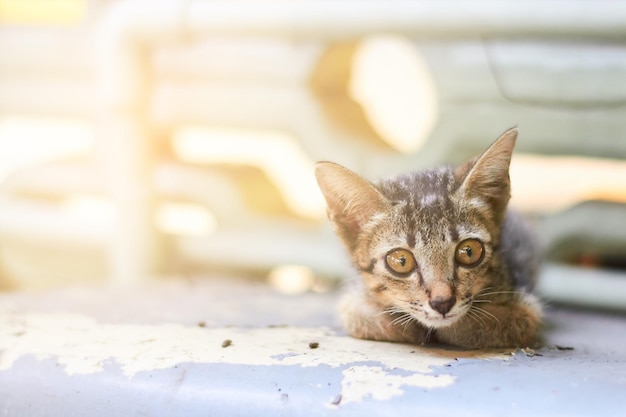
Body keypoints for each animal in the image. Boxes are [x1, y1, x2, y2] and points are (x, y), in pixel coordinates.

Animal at [314, 127, 540, 348]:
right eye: (401, 261)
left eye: (469, 252)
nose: (442, 302)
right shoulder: (354, 298)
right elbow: (358, 316)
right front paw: (403, 325)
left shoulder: (526, 302)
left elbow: (514, 321)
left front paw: (456, 328)